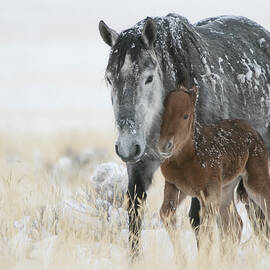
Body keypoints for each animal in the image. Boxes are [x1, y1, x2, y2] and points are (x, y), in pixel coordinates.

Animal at [159, 85, 270, 246]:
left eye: (185, 116)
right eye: (162, 113)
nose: (165, 145)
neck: (186, 160)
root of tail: (254, 131)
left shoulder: (209, 193)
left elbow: (205, 231)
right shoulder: (175, 186)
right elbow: (166, 214)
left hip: (255, 183)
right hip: (226, 188)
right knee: (234, 225)